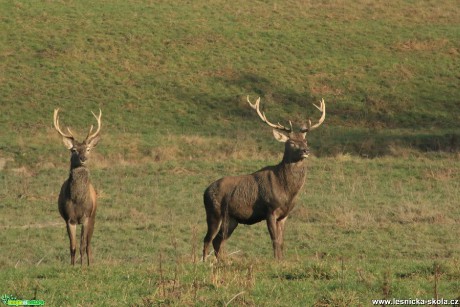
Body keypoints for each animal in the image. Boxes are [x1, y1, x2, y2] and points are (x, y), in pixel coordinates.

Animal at [53, 109, 101, 266]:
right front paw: (73, 265)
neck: (78, 200)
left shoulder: (86, 217)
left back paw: (90, 263)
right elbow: (72, 246)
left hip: (93, 216)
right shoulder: (69, 219)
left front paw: (82, 266)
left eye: (88, 149)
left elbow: (82, 245)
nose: (83, 158)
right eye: (73, 150)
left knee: (88, 244)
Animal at [202, 95, 328, 260]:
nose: (306, 150)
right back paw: (203, 262)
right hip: (213, 212)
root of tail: (205, 191)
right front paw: (275, 261)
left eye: (305, 141)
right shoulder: (270, 209)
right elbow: (274, 240)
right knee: (207, 239)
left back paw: (223, 262)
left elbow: (282, 241)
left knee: (218, 240)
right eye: (291, 142)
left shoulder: (284, 215)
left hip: (232, 219)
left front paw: (281, 261)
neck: (287, 190)